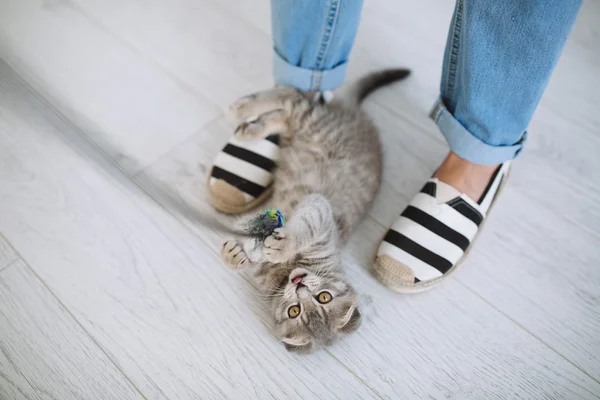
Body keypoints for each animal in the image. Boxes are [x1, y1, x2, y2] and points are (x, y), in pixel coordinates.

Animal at [221, 69, 412, 354]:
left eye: (297, 310)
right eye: (323, 298)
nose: (299, 286)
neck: (289, 269)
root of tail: (359, 113)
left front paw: (239, 254)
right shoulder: (320, 212)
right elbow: (302, 229)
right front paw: (257, 248)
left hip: (305, 130)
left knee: (288, 113)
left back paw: (249, 127)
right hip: (314, 123)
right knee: (291, 96)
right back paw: (242, 112)